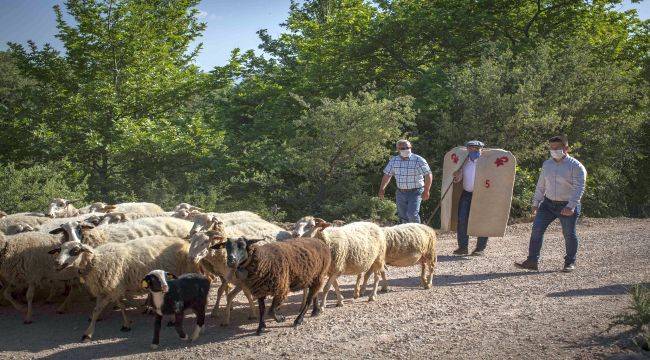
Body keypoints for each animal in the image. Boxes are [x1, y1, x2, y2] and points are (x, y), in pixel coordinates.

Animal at [49, 235, 197, 342]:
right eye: (60, 250)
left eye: (74, 251)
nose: (56, 263)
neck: (96, 262)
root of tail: (183, 242)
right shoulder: (107, 289)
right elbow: (100, 310)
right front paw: (88, 333)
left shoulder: (113, 288)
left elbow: (116, 307)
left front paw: (125, 325)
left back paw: (172, 319)